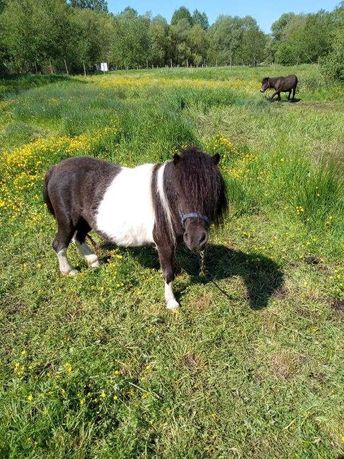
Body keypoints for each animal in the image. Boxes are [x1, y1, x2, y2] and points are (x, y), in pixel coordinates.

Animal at [43, 148, 228, 310]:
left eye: (213, 192)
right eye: (177, 193)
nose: (196, 239)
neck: (165, 200)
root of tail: (55, 168)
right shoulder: (163, 242)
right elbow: (168, 272)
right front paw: (171, 303)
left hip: (85, 219)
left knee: (78, 237)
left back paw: (93, 262)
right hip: (67, 220)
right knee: (60, 244)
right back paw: (69, 271)